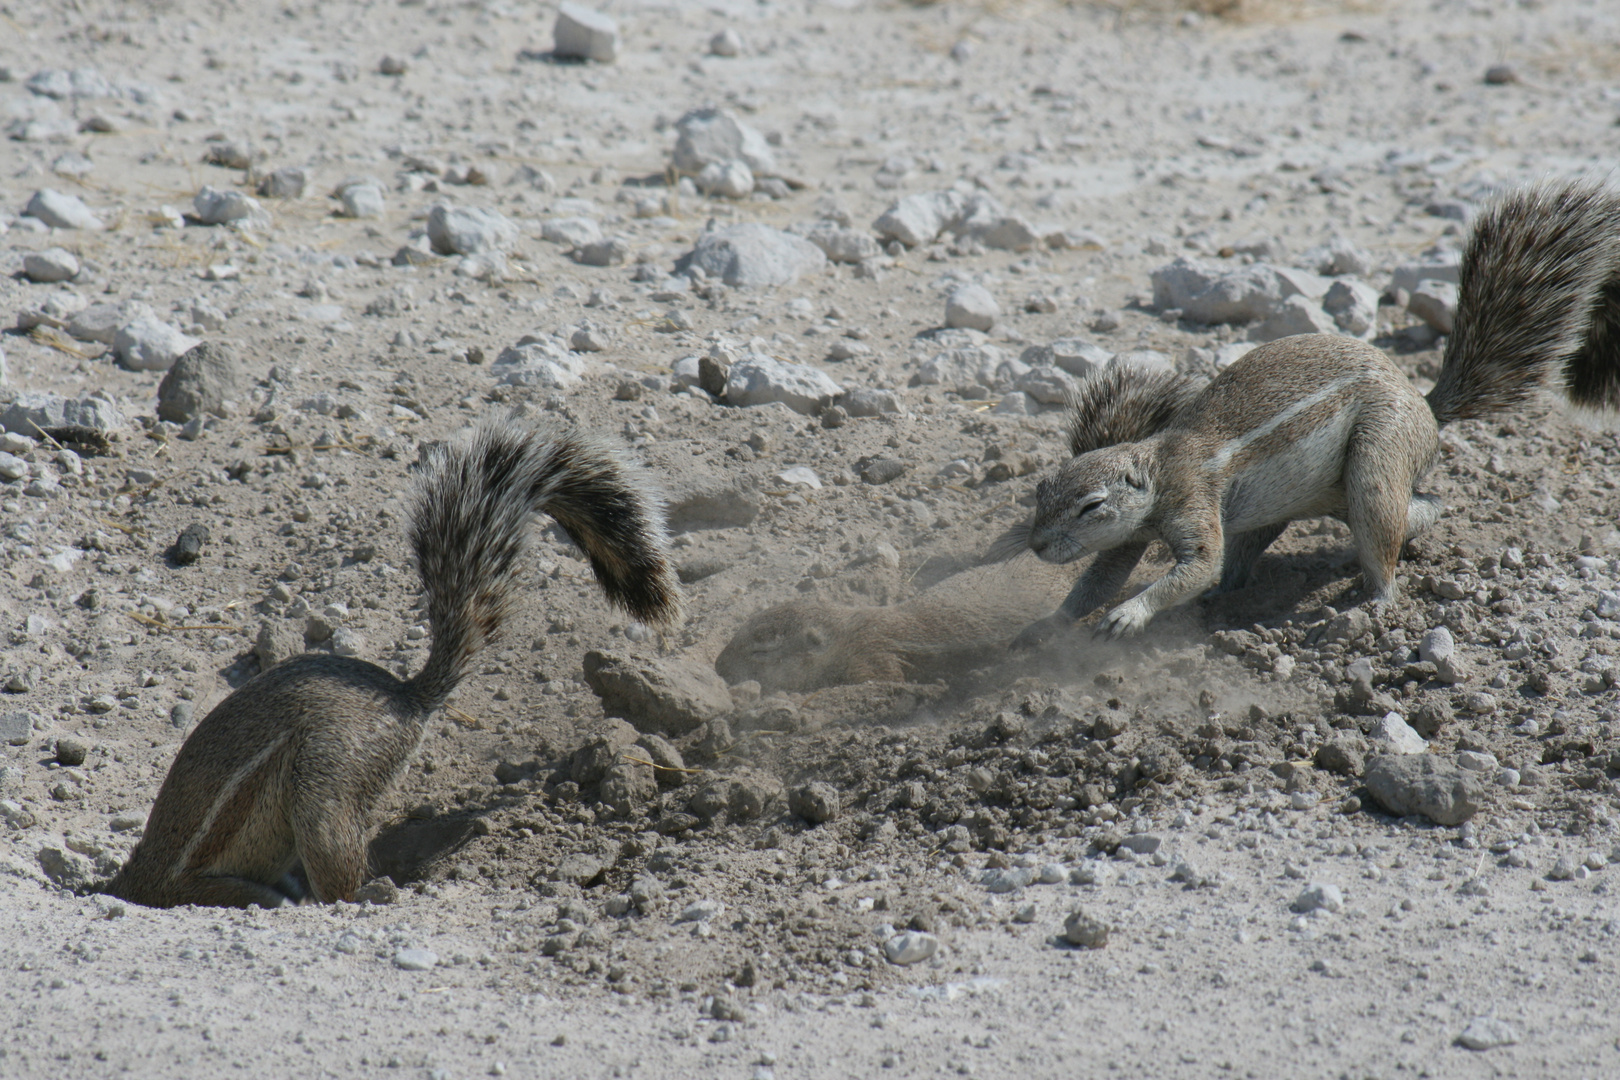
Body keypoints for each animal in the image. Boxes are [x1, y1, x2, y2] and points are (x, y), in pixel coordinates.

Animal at [1010, 177, 1620, 641]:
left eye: (1091, 506)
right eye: (1042, 490)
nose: (1036, 545)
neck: (1157, 468)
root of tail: (1426, 409)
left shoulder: (1191, 501)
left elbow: (1197, 565)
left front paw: (1127, 615)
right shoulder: (1130, 538)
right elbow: (1099, 577)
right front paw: (1048, 624)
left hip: (1377, 455)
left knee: (1384, 526)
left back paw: (1372, 604)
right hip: (1295, 503)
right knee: (1416, 508)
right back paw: (1232, 600)